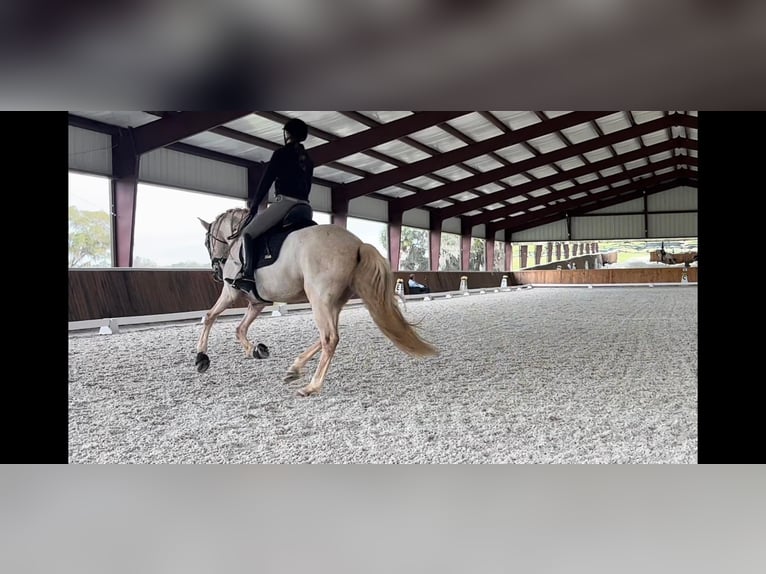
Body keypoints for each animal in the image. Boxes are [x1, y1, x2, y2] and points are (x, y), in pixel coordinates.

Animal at [196, 205, 438, 398]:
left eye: (207, 241)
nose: (215, 271)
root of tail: (357, 244)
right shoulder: (258, 302)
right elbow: (240, 327)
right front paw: (254, 349)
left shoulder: (230, 292)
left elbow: (209, 317)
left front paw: (201, 358)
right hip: (333, 303)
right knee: (327, 337)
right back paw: (294, 369)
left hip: (319, 299)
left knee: (330, 338)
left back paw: (311, 386)